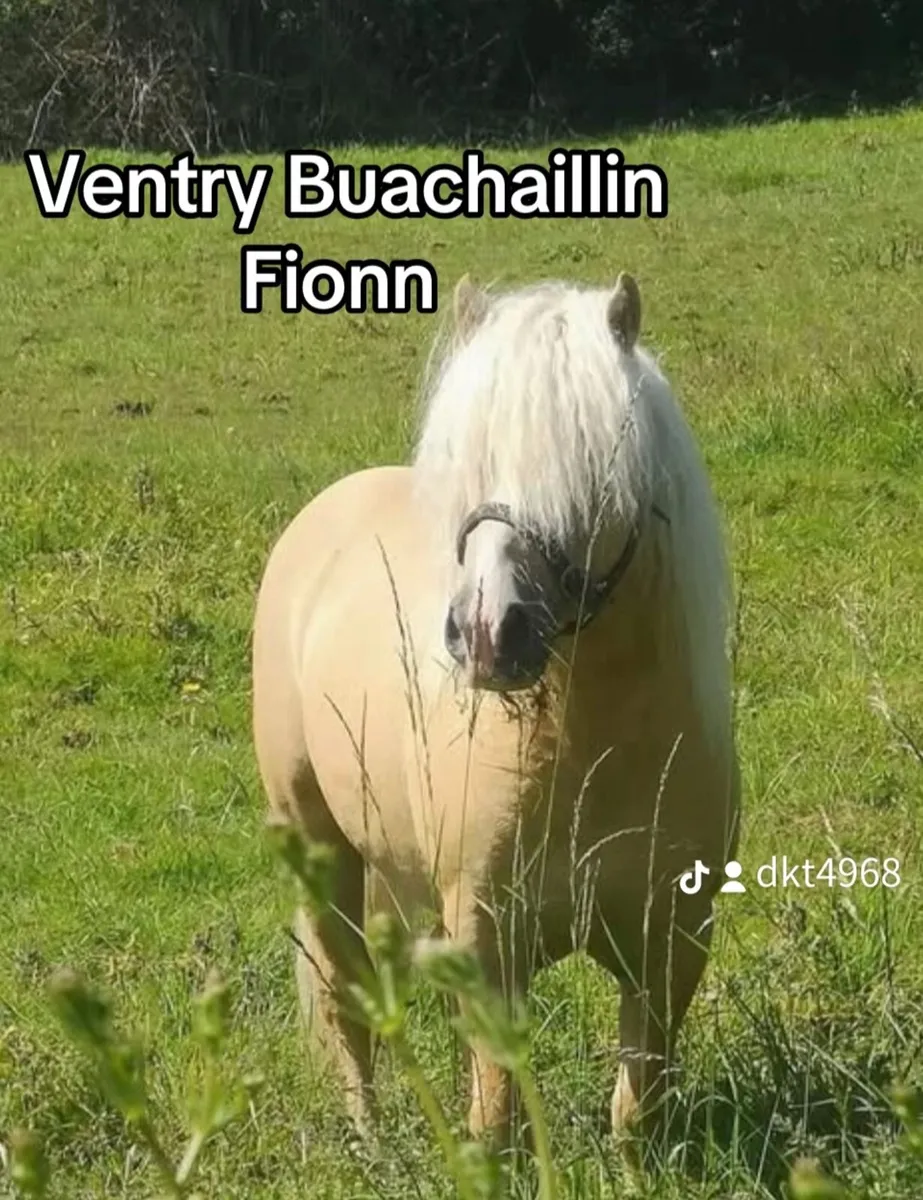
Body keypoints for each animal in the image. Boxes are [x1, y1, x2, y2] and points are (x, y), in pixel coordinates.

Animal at [251, 271, 740, 1161]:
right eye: (469, 462)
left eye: (590, 467)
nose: (485, 634)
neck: (590, 754)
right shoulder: (484, 945)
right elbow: (497, 1116)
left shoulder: (672, 944)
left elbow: (636, 1108)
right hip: (317, 843)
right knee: (346, 999)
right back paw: (369, 1142)